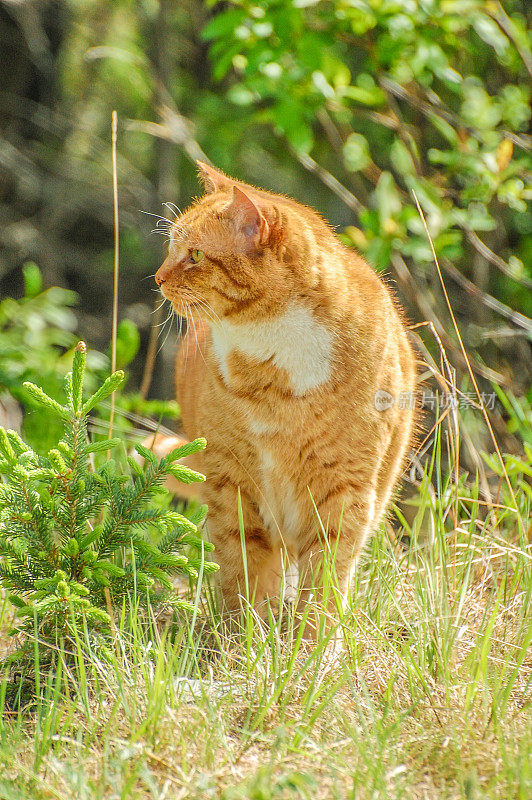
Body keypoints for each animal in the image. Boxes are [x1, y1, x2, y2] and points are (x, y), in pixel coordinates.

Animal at [150, 162, 416, 620]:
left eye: (195, 256)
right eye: (171, 250)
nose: (159, 277)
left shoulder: (344, 491)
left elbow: (325, 581)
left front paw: (314, 639)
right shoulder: (232, 483)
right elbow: (243, 571)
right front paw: (245, 634)